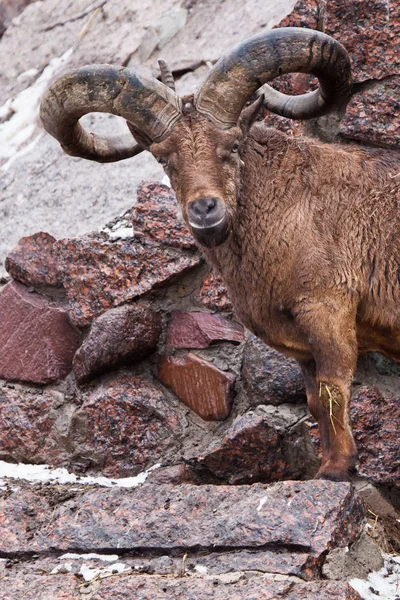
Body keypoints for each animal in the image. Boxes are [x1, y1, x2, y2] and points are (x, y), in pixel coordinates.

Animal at [39, 27, 400, 482]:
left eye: (232, 146)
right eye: (164, 158)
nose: (204, 209)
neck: (293, 205)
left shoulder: (326, 307)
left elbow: (333, 386)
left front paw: (336, 469)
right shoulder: (300, 342)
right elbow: (316, 400)